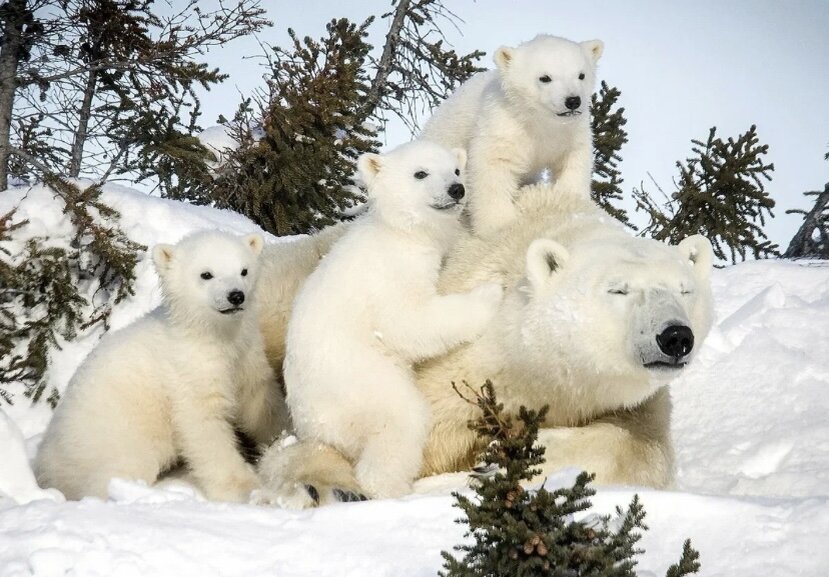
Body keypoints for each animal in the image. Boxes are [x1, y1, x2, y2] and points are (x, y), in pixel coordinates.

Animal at [256, 184, 716, 500]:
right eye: (618, 289)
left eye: (685, 290)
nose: (675, 336)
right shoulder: (460, 368)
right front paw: (327, 482)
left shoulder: (628, 401)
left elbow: (645, 448)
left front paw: (503, 460)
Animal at [420, 34, 600, 236]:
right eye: (545, 78)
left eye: (581, 75)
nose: (573, 101)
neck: (538, 121)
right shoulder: (503, 126)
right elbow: (493, 166)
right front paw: (498, 225)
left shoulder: (570, 132)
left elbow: (574, 160)